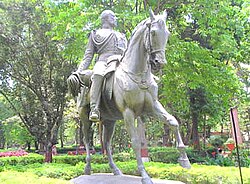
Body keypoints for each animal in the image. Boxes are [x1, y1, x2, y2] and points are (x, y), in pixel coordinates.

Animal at [67, 9, 190, 184]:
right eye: (153, 32)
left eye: (167, 33)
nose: (159, 63)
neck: (138, 74)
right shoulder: (128, 112)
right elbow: (136, 142)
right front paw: (144, 175)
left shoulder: (153, 106)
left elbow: (173, 121)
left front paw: (184, 160)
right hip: (85, 117)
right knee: (86, 140)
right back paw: (88, 168)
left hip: (110, 121)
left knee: (107, 143)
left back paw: (115, 170)